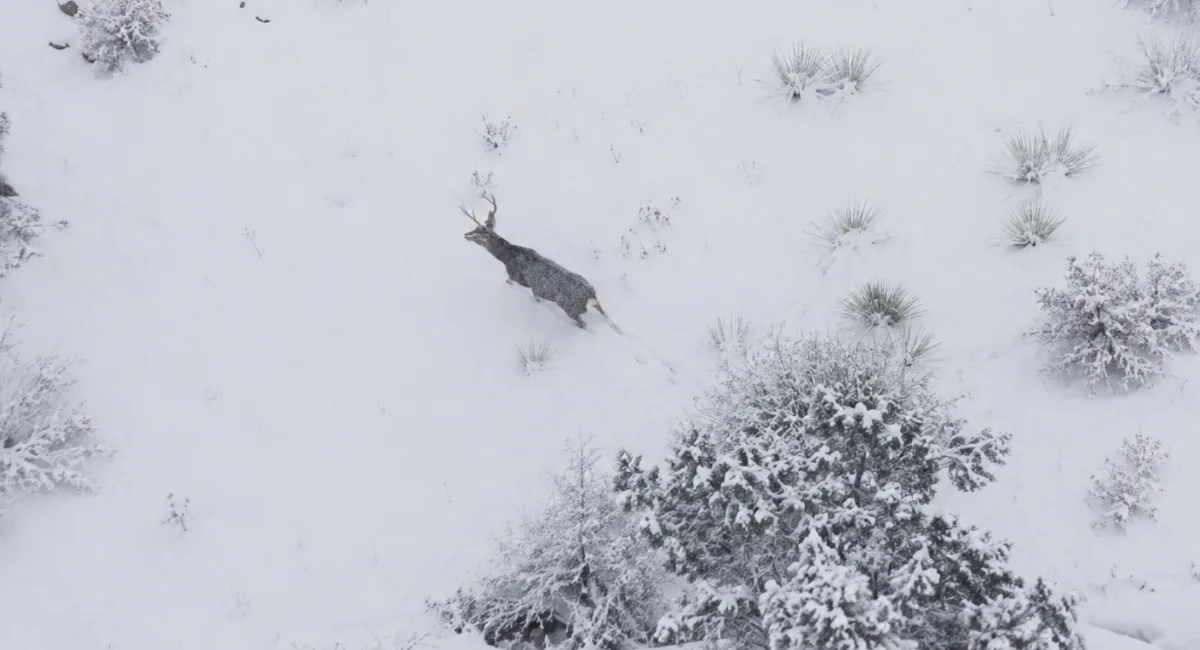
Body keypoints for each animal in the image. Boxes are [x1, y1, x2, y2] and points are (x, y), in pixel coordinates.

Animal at [460, 192, 608, 329]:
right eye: (474, 229)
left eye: (477, 236)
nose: (465, 234)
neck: (506, 257)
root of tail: (590, 294)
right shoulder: (535, 287)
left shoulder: (516, 277)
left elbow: (510, 281)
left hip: (570, 308)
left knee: (582, 323)